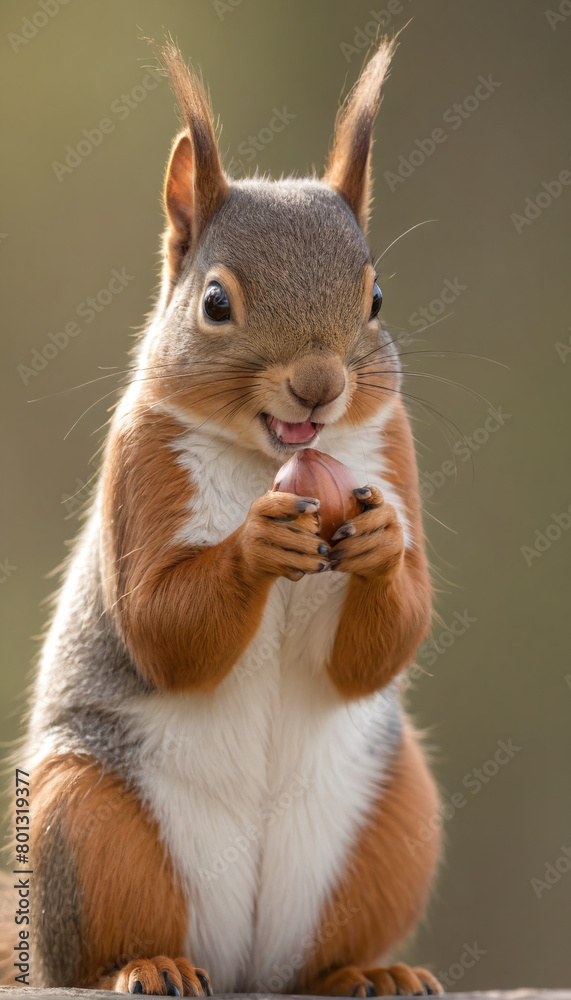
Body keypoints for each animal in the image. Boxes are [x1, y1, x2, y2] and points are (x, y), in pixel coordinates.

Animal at [12, 37, 442, 997]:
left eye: (376, 299)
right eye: (214, 303)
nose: (318, 385)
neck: (262, 458)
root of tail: (241, 957)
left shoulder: (393, 449)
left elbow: (383, 643)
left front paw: (382, 548)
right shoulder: (140, 462)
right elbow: (161, 625)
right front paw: (252, 544)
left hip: (396, 819)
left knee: (321, 957)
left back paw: (368, 973)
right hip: (81, 817)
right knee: (101, 944)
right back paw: (148, 966)